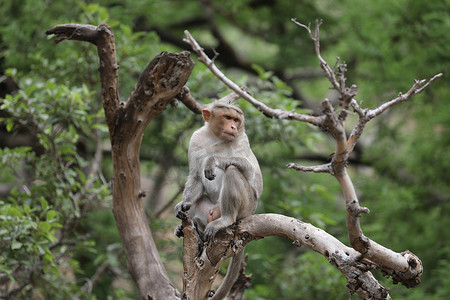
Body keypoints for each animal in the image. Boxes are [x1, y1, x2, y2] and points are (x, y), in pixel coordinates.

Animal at [174, 93, 262, 298]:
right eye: (228, 118)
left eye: (236, 120)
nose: (233, 127)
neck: (215, 137)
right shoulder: (195, 138)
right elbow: (196, 177)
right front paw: (182, 204)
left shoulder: (241, 138)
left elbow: (250, 170)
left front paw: (212, 160)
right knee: (197, 204)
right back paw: (193, 230)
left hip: (246, 205)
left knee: (232, 170)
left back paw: (225, 220)